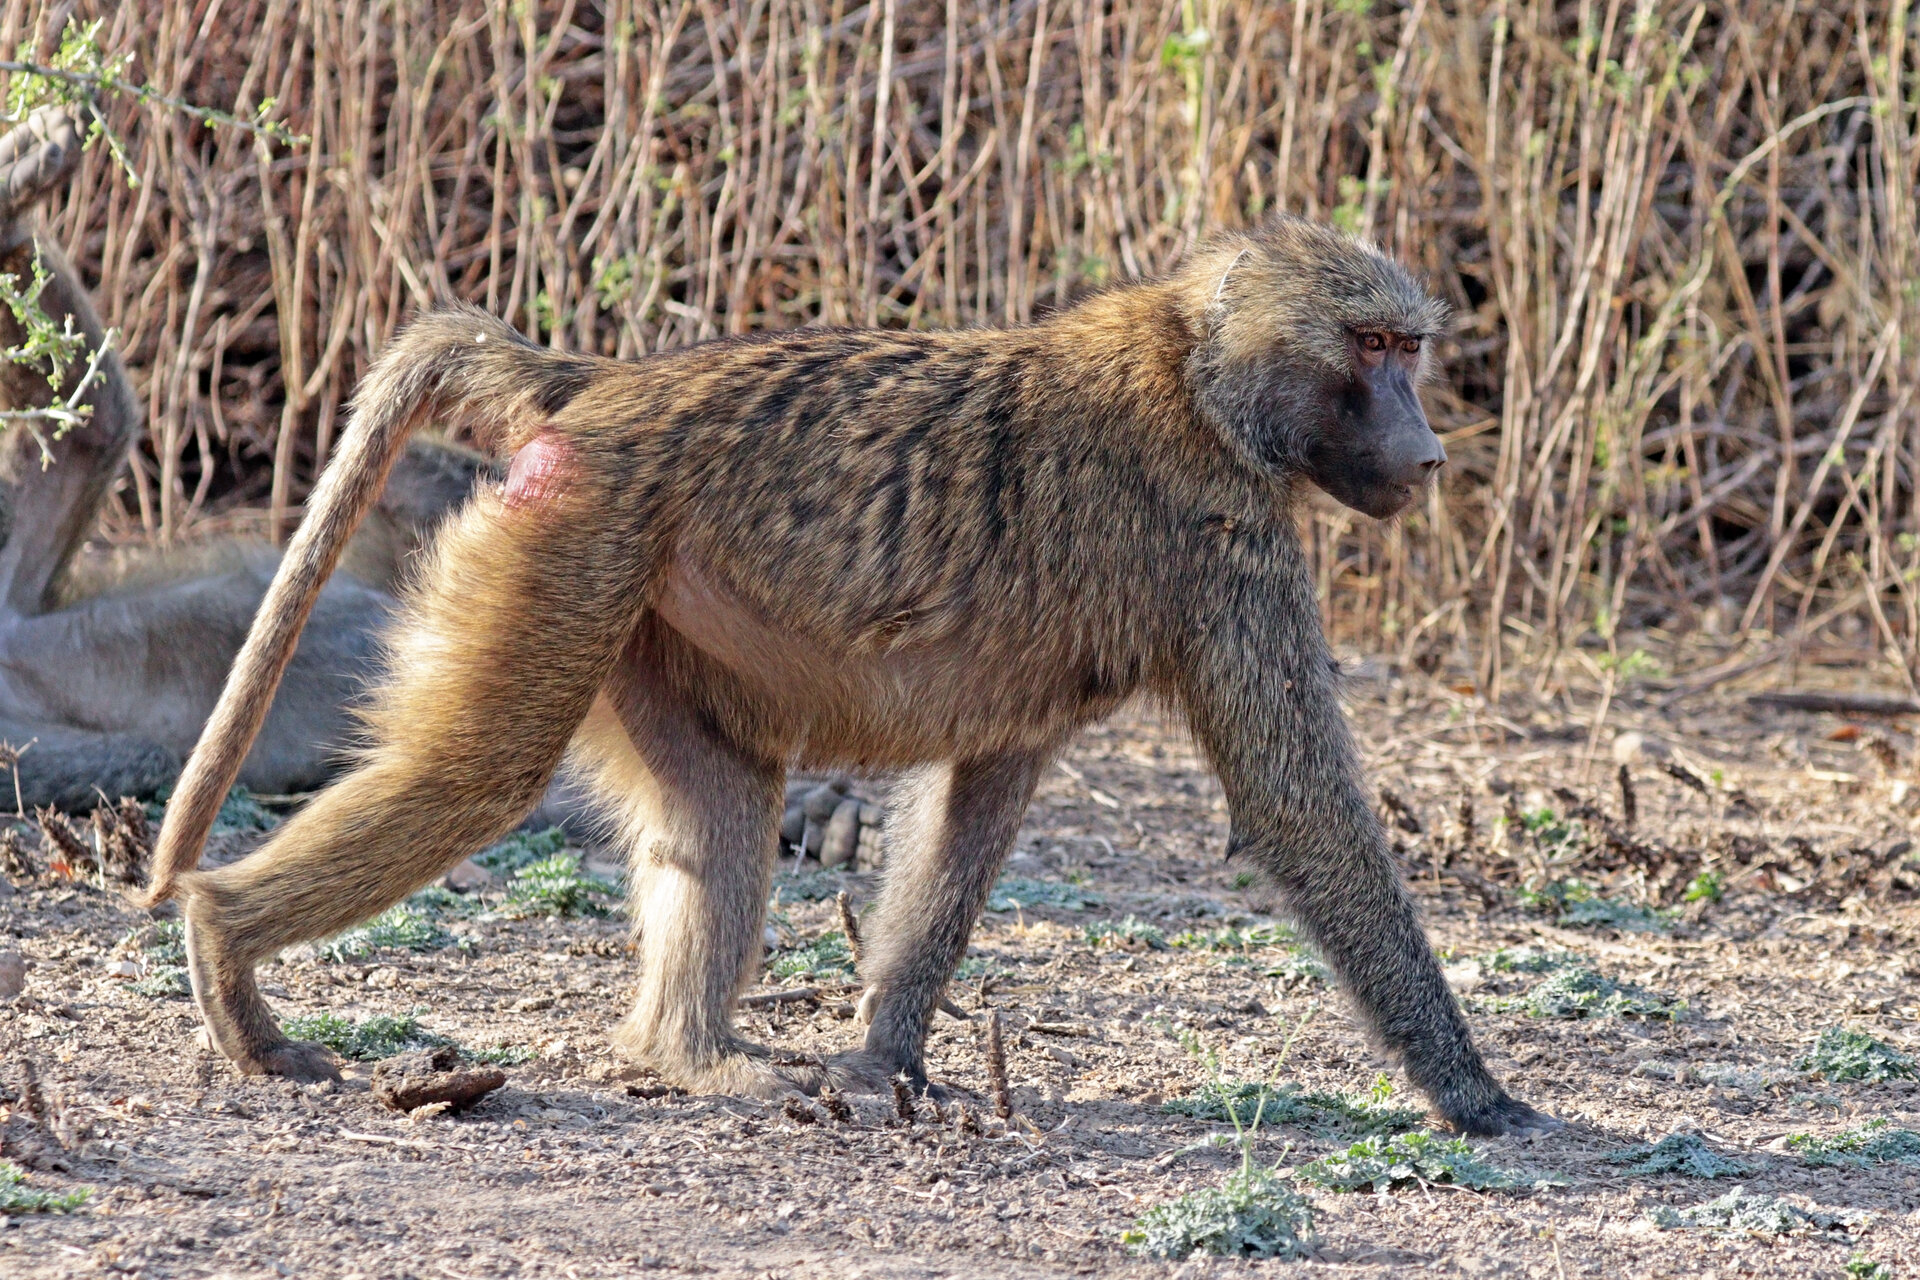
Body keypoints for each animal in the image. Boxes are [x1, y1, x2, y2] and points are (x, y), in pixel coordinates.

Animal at [143, 213, 1556, 1137]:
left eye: (1409, 350)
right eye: (1370, 347)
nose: (1430, 454)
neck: (1193, 365)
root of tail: (600, 383)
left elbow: (971, 813)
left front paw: (888, 1058)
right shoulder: (1225, 536)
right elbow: (1298, 809)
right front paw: (1486, 1098)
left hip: (631, 600)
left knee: (722, 799)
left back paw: (690, 1058)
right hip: (568, 544)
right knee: (479, 774)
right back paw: (227, 958)